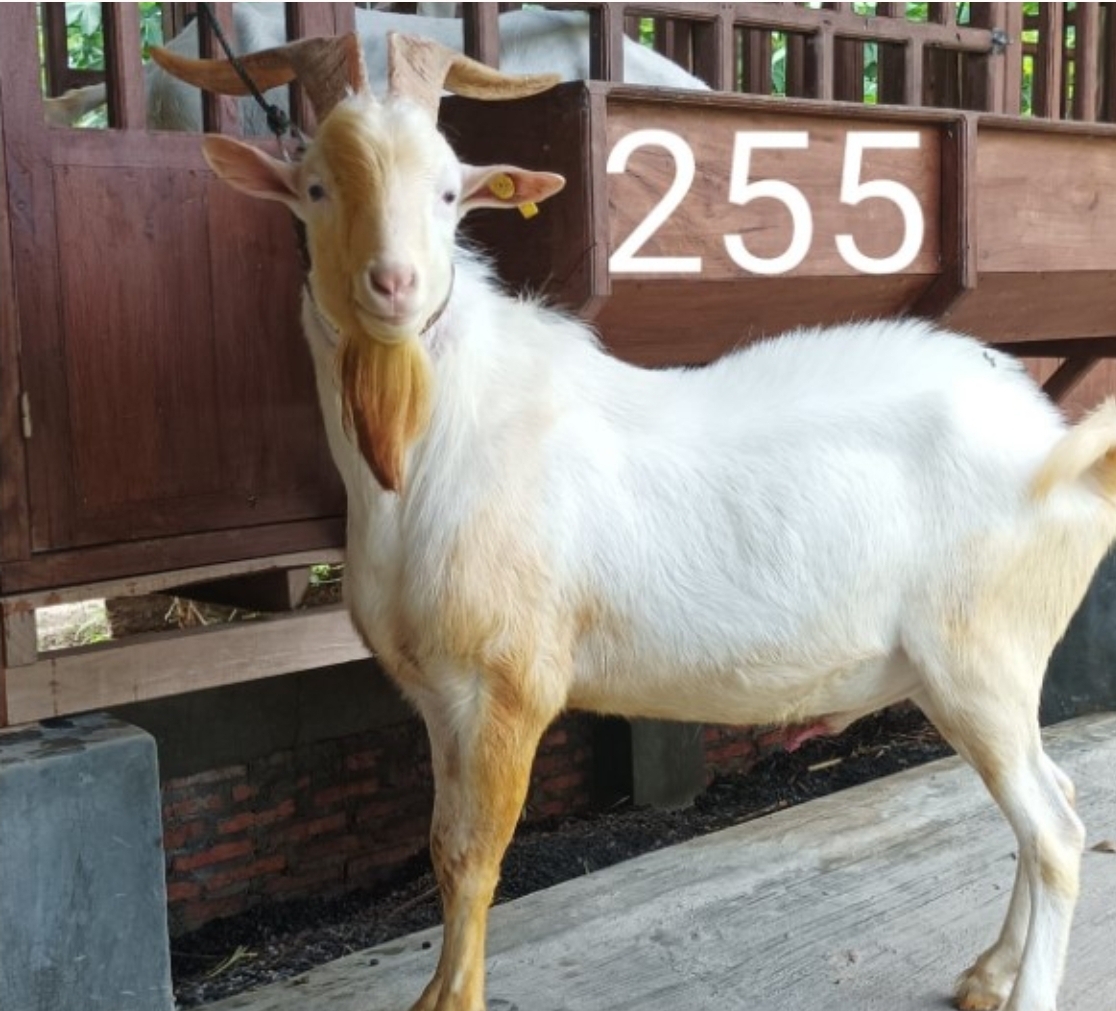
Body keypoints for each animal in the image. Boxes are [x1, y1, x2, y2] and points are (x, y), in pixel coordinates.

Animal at [156, 30, 1116, 1011]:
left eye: (451, 190)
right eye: (315, 186)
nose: (394, 285)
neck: (435, 441)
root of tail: (1058, 448)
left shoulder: (505, 684)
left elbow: (470, 857)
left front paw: (452, 997)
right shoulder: (435, 694)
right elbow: (439, 847)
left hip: (983, 657)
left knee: (1053, 830)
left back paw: (1023, 987)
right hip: (958, 672)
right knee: (1059, 798)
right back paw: (988, 971)